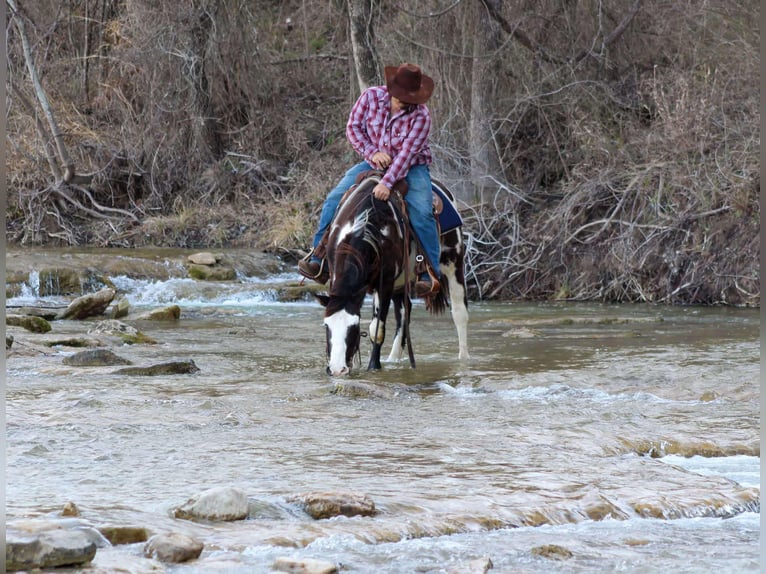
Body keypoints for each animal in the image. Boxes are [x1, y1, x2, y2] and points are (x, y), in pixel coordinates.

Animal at [315, 173, 469, 376]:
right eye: (326, 326)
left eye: (354, 327)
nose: (337, 370)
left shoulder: (385, 282)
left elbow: (377, 329)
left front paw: (374, 366)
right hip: (402, 281)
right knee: (404, 312)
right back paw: (394, 359)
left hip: (454, 264)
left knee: (459, 312)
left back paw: (464, 358)